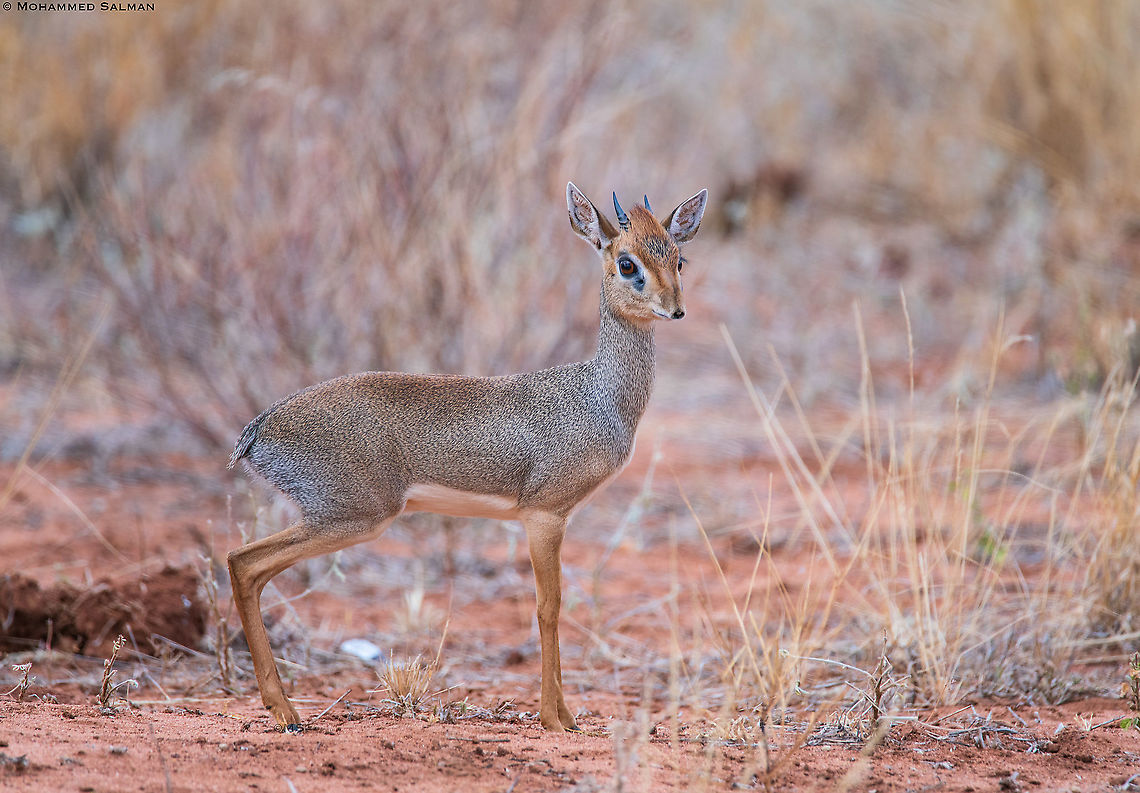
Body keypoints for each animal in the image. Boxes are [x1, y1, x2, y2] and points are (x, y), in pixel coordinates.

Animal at [227, 182, 708, 732]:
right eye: (627, 264)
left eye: (678, 258)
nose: (676, 310)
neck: (596, 396)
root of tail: (258, 429)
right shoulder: (544, 516)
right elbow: (548, 607)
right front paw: (553, 717)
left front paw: (565, 715)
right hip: (353, 517)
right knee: (242, 562)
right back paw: (284, 711)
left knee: (250, 570)